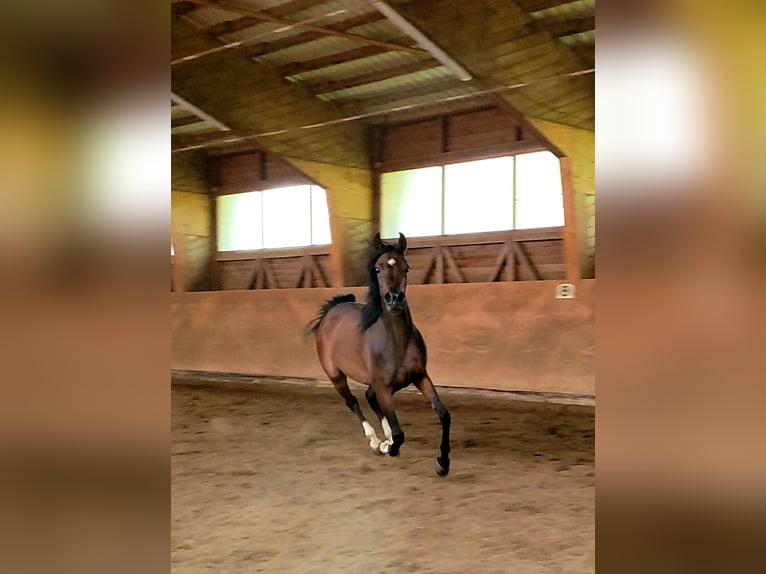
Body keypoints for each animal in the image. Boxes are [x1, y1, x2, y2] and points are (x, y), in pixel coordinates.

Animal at [307, 232, 451, 476]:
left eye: (406, 267)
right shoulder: (383, 386)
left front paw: (443, 462)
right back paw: (376, 442)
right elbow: (399, 433)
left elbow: (443, 415)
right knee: (353, 402)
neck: (396, 342)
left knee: (369, 398)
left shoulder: (420, 377)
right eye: (377, 268)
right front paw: (388, 447)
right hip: (336, 376)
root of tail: (331, 311)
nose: (394, 298)